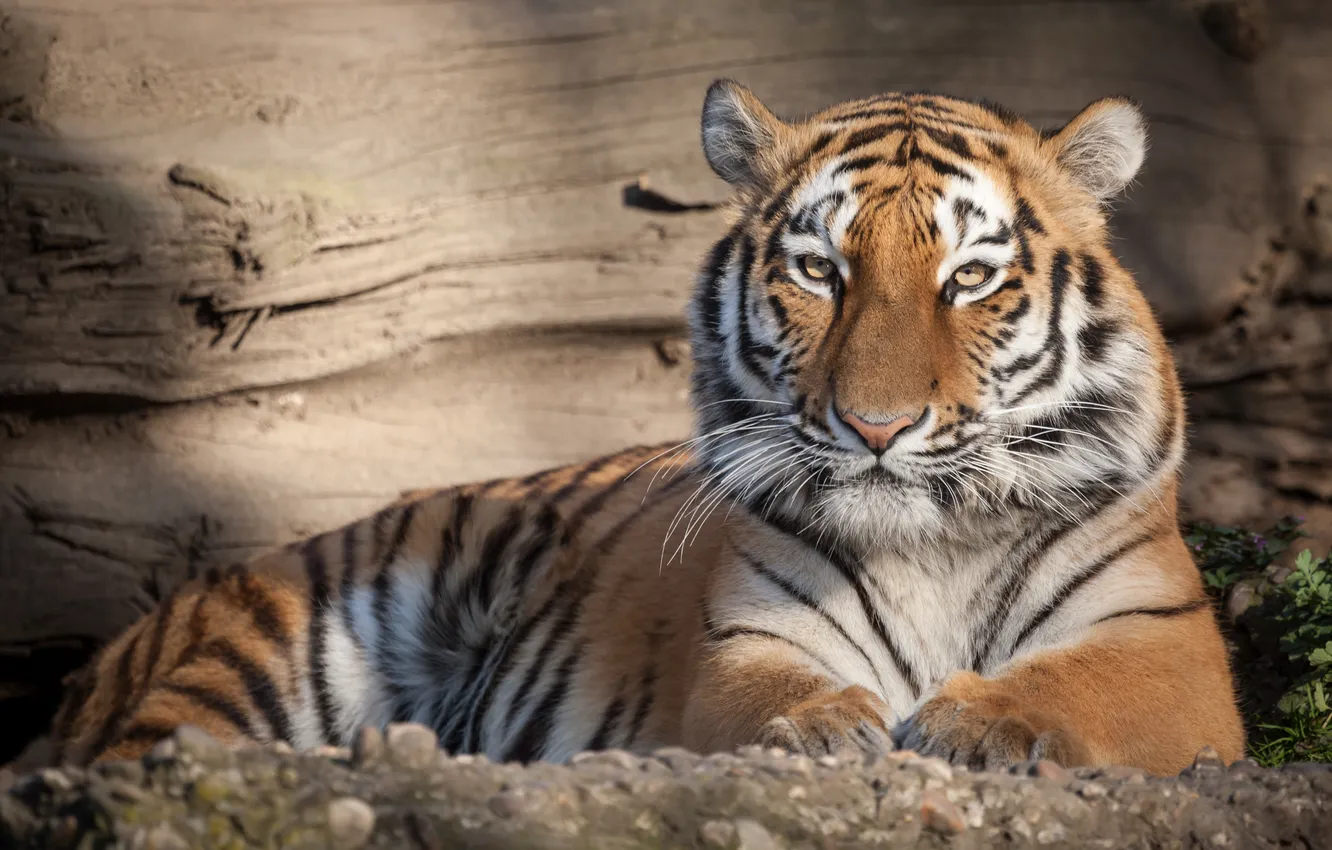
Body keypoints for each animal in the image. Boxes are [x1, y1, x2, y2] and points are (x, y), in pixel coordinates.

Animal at [44, 81, 1244, 775]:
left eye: (971, 279)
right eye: (821, 270)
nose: (876, 425)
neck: (930, 544)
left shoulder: (1167, 645)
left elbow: (1076, 686)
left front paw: (974, 723)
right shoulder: (748, 643)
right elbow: (773, 698)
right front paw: (823, 728)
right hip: (264, 641)